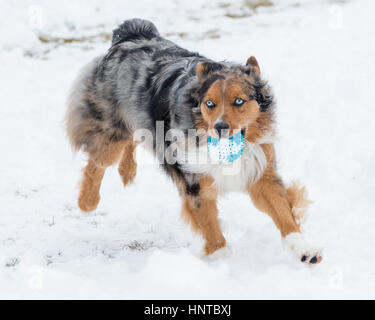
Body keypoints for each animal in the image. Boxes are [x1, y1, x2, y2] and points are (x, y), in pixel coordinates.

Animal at [65, 19, 324, 264]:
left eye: (239, 101)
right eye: (209, 103)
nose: (220, 128)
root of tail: (130, 34)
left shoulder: (260, 171)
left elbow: (283, 213)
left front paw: (304, 249)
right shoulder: (194, 180)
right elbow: (210, 225)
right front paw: (221, 260)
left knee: (132, 138)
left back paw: (127, 171)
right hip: (109, 127)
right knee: (96, 164)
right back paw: (87, 202)